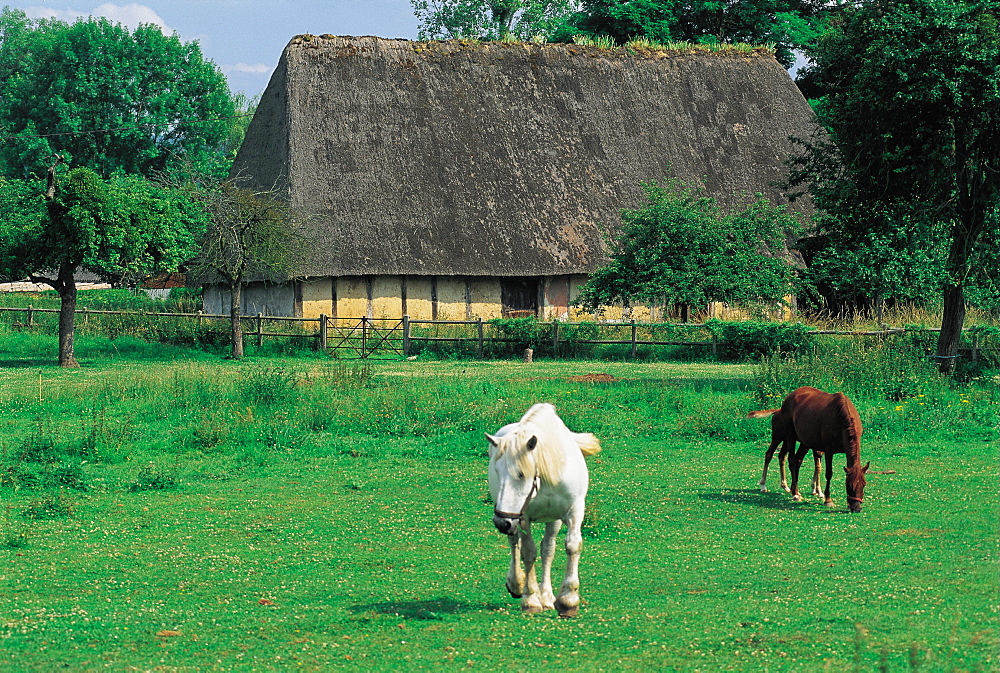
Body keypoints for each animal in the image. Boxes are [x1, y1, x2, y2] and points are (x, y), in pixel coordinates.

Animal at [486, 402, 600, 616]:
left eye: (521, 474)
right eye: (496, 471)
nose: (501, 522)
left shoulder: (574, 511)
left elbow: (572, 546)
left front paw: (568, 600)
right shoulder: (523, 517)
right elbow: (528, 552)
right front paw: (530, 599)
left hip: (551, 519)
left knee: (548, 548)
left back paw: (546, 596)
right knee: (515, 542)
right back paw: (517, 584)